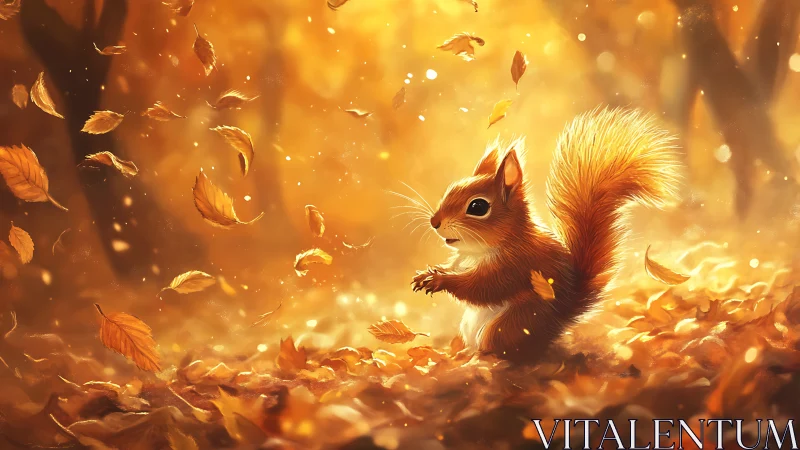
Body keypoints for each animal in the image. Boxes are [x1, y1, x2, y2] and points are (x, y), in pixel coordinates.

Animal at [411, 107, 681, 363]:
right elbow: (454, 268)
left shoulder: (517, 266)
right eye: (450, 189)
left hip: (509, 325)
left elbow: (482, 289)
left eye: (478, 207)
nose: (434, 222)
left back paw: (483, 357)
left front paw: (440, 280)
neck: (478, 251)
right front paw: (429, 273)